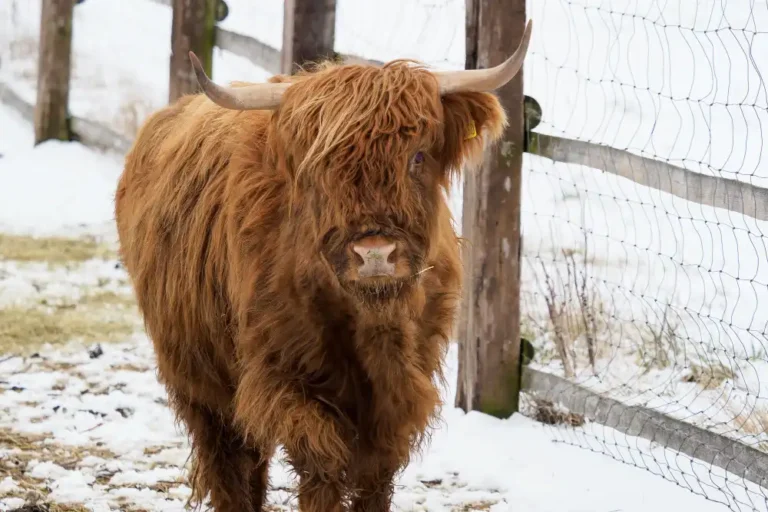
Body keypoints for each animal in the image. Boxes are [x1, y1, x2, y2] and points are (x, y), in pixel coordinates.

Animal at [114, 19, 532, 512]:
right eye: (323, 168)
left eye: (417, 156)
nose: (375, 253)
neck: (370, 324)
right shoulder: (281, 377)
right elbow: (322, 463)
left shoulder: (403, 393)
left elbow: (377, 474)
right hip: (198, 377)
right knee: (229, 459)